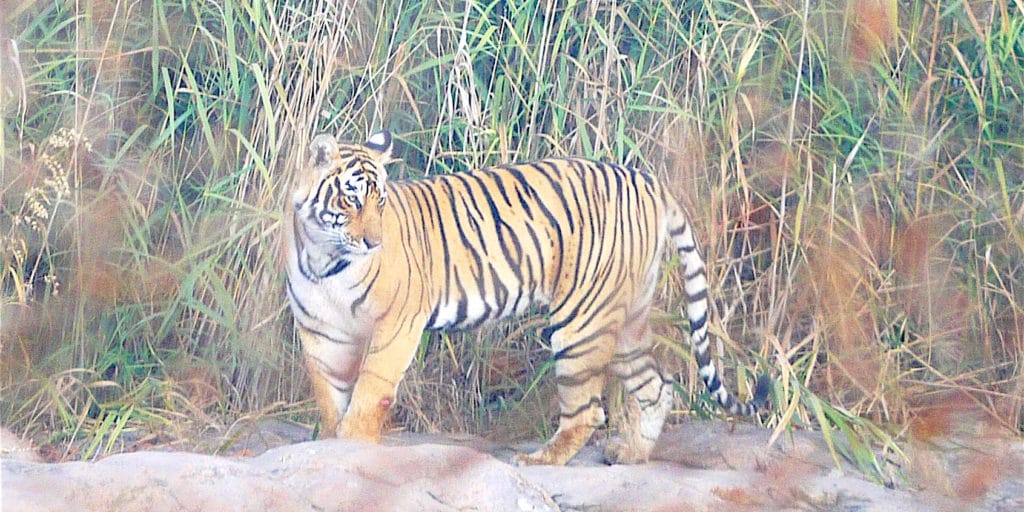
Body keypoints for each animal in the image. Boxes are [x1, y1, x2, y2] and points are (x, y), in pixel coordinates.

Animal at [282, 131, 770, 464]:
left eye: (380, 201)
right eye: (350, 200)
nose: (374, 243)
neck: (326, 259)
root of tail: (647, 180)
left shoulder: (398, 323)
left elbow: (370, 391)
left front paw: (354, 446)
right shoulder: (321, 332)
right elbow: (330, 394)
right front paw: (334, 444)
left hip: (580, 321)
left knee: (587, 410)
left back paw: (540, 460)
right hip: (628, 317)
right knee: (657, 384)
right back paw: (631, 453)